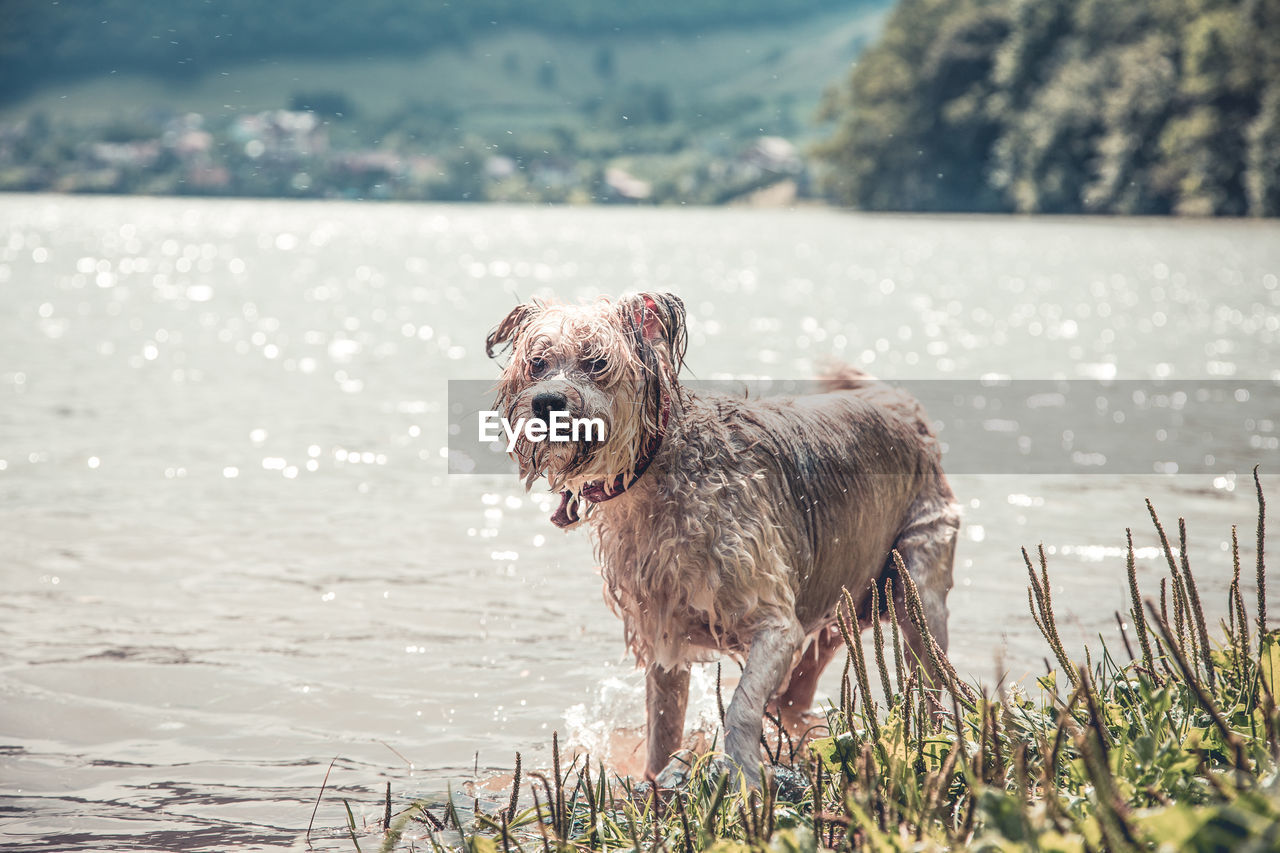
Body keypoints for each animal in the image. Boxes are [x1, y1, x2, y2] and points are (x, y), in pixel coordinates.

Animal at [483, 290, 957, 783]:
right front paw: (657, 779)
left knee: (927, 669)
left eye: (596, 362)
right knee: (800, 689)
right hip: (842, 599)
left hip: (917, 585)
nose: (547, 401)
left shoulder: (775, 626)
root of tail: (900, 405)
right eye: (537, 363)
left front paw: (744, 771)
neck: (654, 471)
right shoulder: (663, 636)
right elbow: (662, 729)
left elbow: (742, 707)